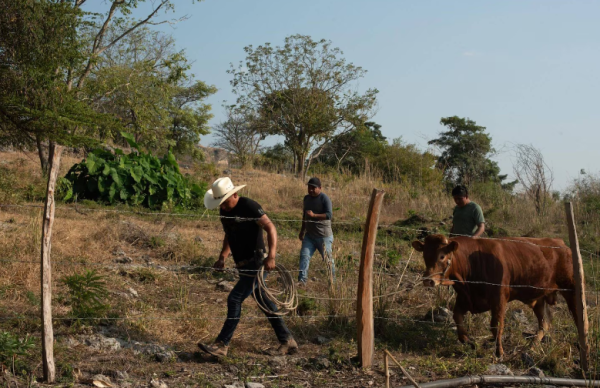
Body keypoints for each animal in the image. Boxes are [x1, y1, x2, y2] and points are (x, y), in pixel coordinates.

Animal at [410, 235, 576, 356]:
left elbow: (496, 326)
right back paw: (531, 347)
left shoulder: (499, 299)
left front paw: (499, 352)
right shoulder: (464, 298)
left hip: (570, 290)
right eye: (425, 255)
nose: (428, 280)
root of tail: (561, 243)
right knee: (544, 323)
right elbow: (457, 318)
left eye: (442, 256)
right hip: (538, 298)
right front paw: (469, 341)